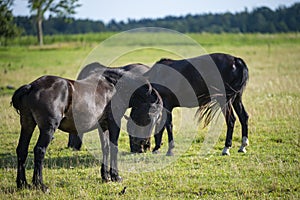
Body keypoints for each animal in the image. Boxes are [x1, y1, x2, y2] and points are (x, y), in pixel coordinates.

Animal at [11, 69, 162, 191]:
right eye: (151, 117)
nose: (143, 143)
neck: (114, 88)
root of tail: (31, 86)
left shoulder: (103, 126)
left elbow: (105, 148)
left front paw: (105, 176)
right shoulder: (114, 124)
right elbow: (114, 148)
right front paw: (115, 176)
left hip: (27, 125)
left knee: (22, 150)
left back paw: (22, 184)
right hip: (48, 129)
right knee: (39, 150)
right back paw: (40, 185)